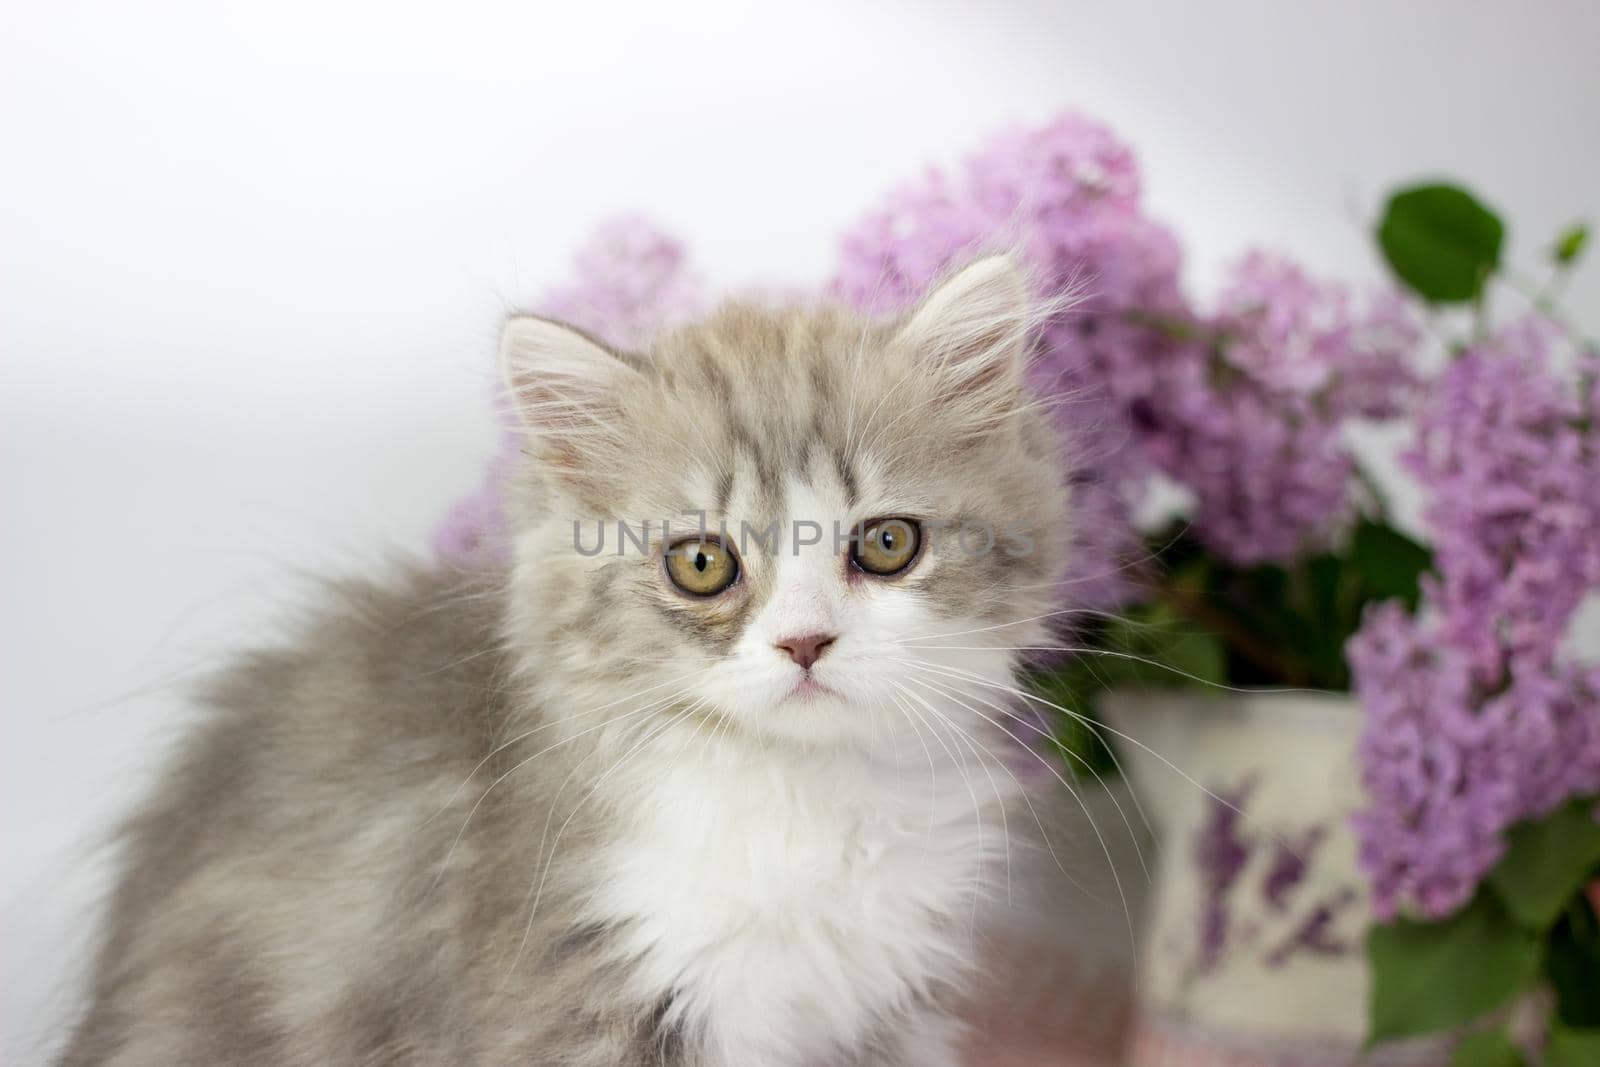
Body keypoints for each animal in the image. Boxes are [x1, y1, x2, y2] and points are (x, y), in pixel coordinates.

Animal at [59, 254, 1075, 1062]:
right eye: (702, 563)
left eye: (888, 543)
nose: (805, 641)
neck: (806, 804)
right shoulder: (580, 984)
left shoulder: (886, 1005)